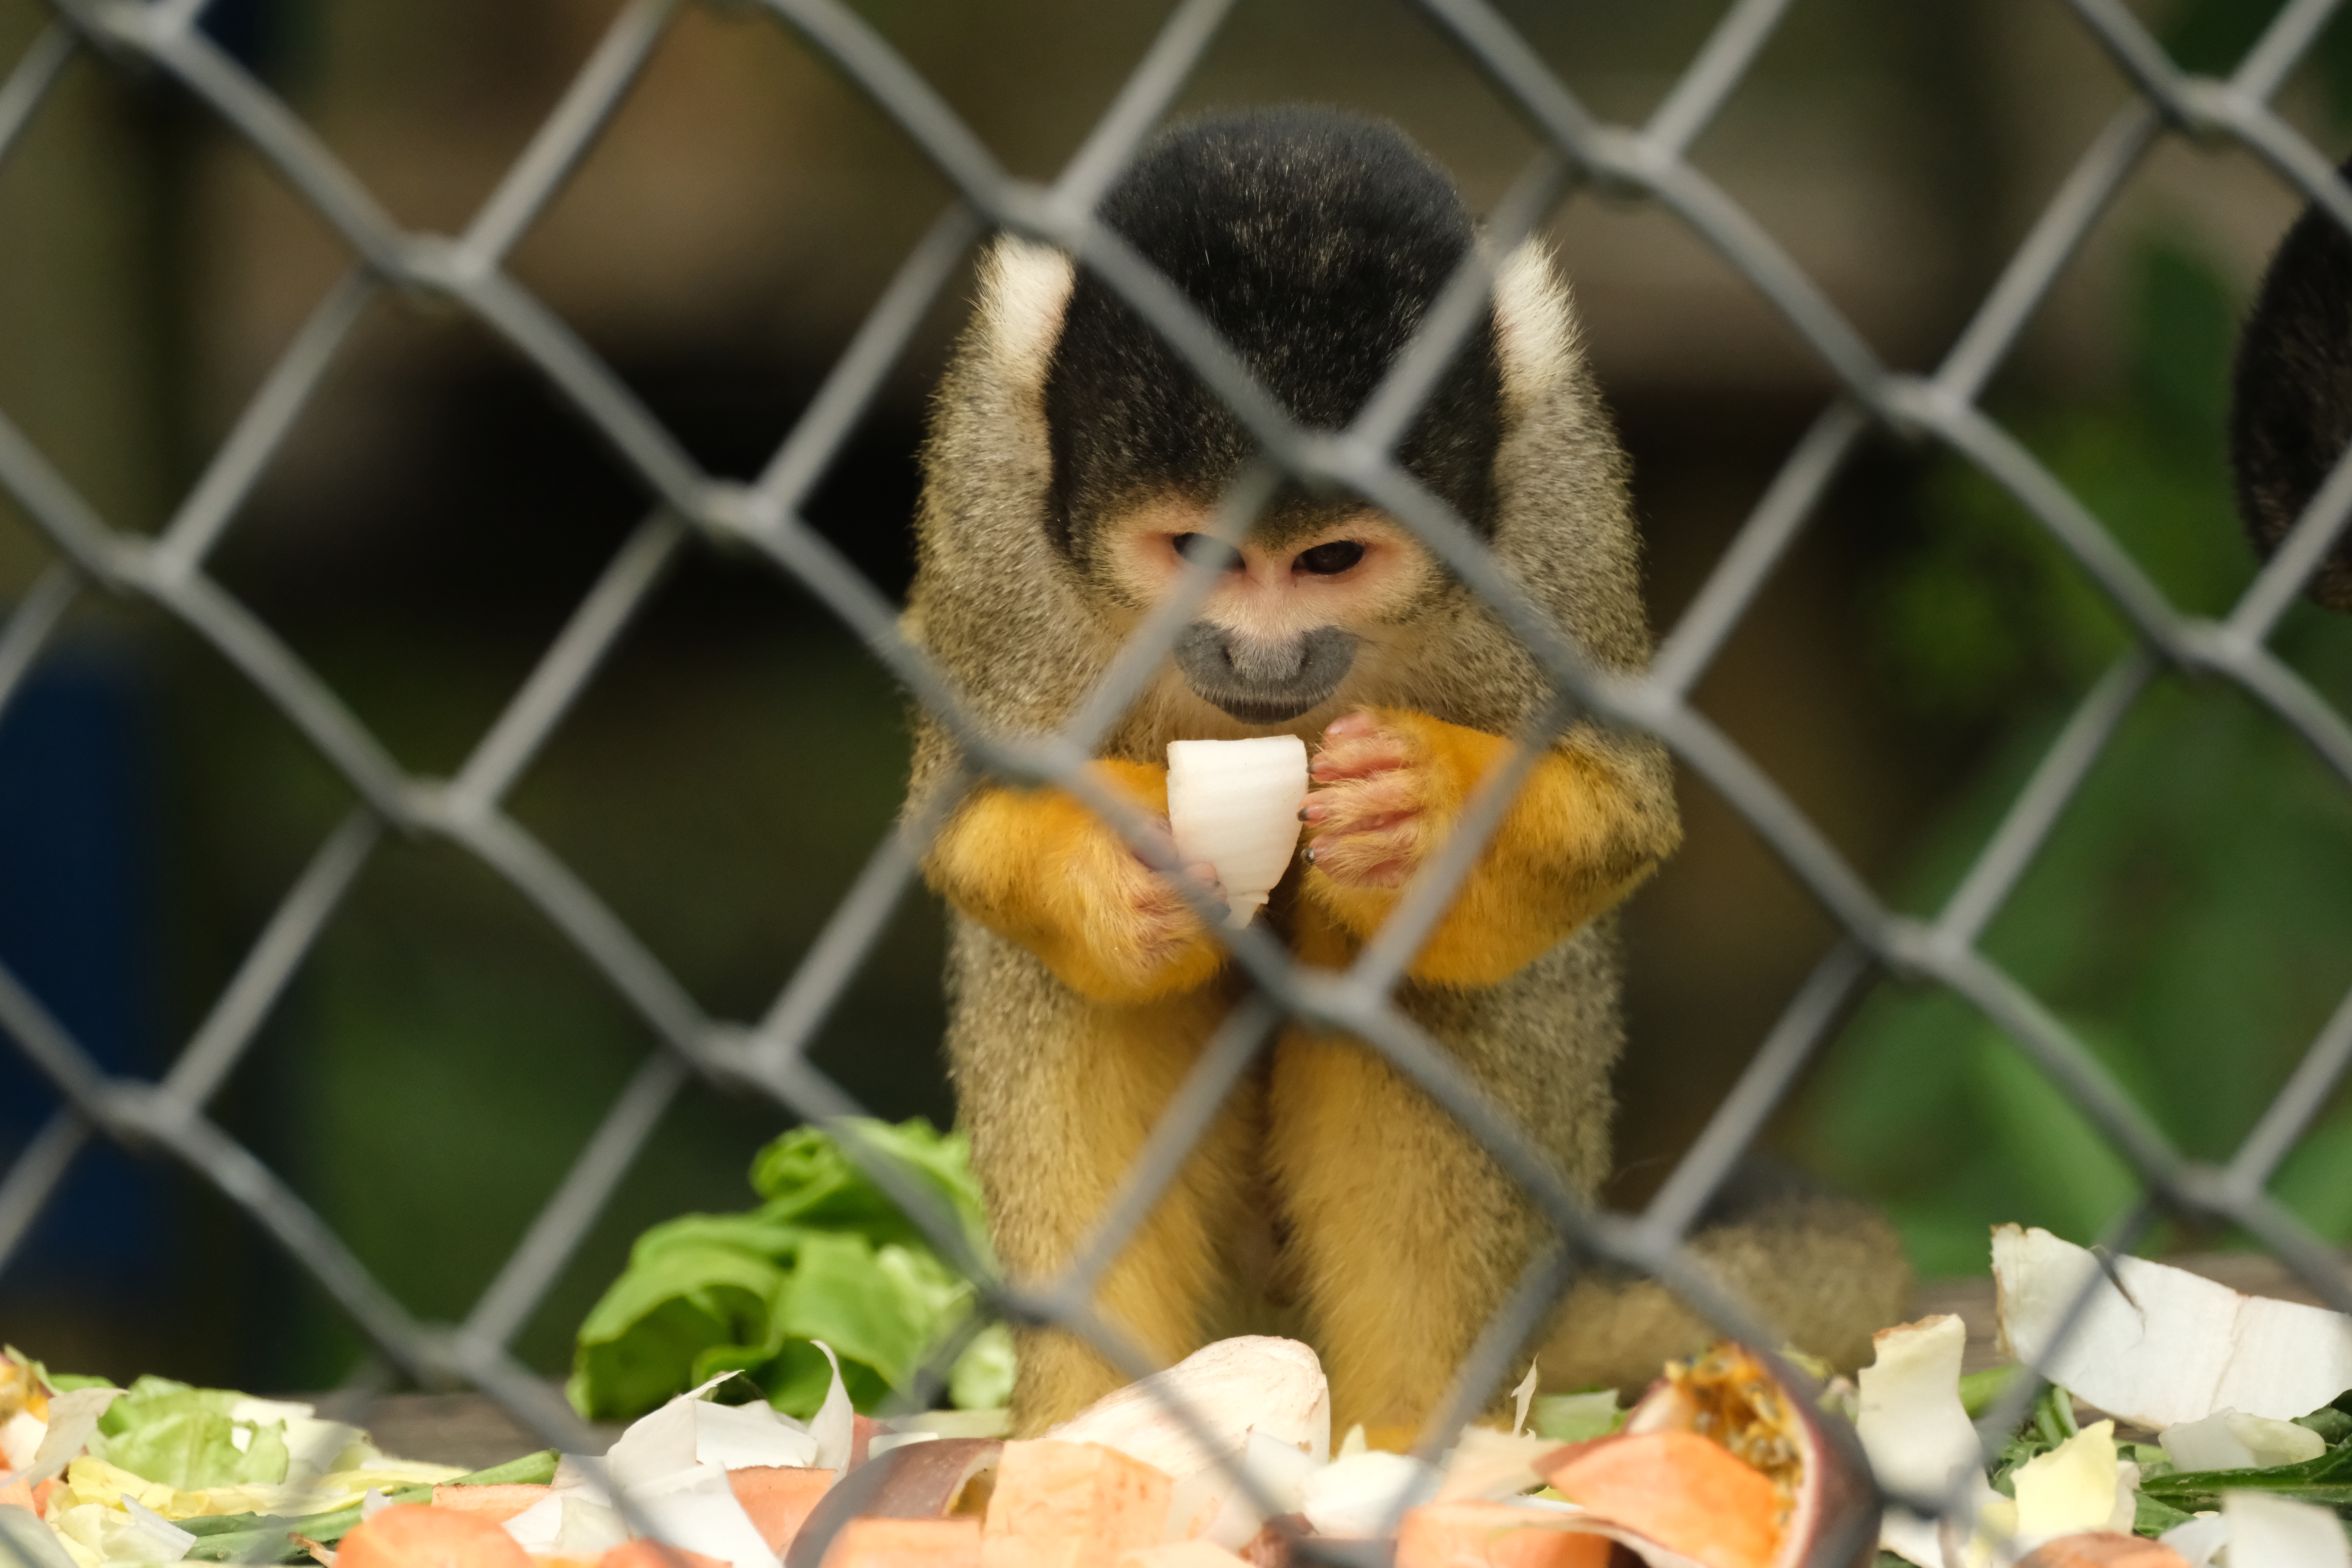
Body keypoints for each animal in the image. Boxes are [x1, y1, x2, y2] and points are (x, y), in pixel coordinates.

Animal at [900, 106, 1908, 1442]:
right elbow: (961, 816)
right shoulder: (987, 478)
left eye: (1329, 559)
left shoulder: (1552, 483)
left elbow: (1614, 812)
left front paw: (1417, 815)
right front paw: (1122, 864)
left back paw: (1410, 1441)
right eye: (1199, 551)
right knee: (1068, 989)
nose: (1264, 657)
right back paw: (1088, 1424)